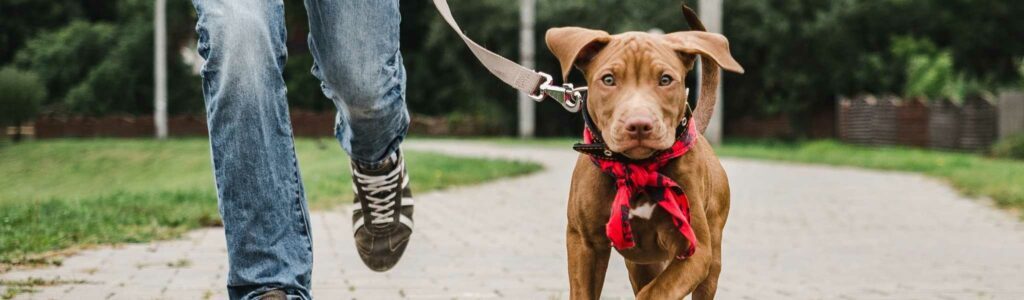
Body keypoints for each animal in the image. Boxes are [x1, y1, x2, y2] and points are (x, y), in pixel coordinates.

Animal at [544, 5, 745, 296]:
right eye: (608, 79)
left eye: (665, 79)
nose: (639, 124)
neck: (635, 167)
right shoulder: (584, 243)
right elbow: (585, 290)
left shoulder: (695, 251)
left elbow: (655, 291)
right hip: (641, 263)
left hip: (712, 257)